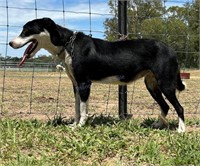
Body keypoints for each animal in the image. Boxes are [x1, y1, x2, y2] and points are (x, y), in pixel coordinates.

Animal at [9, 17, 186, 132]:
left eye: (26, 31)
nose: (10, 43)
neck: (68, 44)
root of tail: (170, 49)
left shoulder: (84, 84)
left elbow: (83, 109)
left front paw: (80, 126)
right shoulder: (76, 85)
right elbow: (77, 108)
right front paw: (74, 125)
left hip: (165, 84)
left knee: (179, 107)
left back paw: (181, 130)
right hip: (151, 84)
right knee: (165, 106)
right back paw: (159, 125)